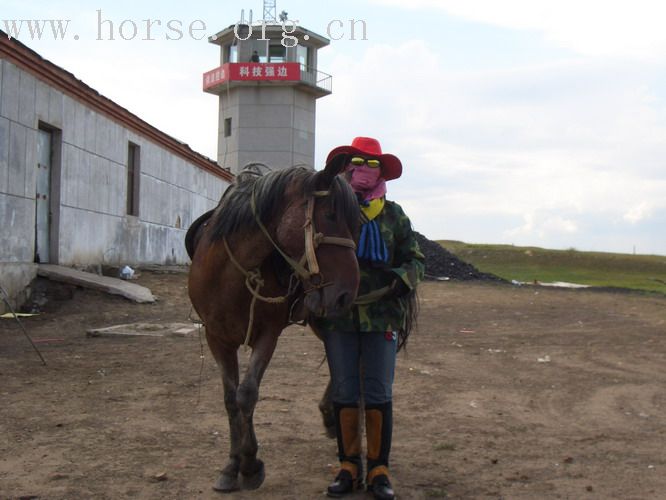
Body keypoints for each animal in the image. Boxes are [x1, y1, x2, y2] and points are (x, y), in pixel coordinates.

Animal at [184, 157, 360, 492]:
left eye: (356, 224)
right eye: (330, 215)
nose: (347, 292)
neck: (230, 273)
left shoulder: (268, 335)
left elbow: (247, 394)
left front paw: (250, 464)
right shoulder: (217, 338)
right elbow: (231, 399)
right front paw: (232, 466)